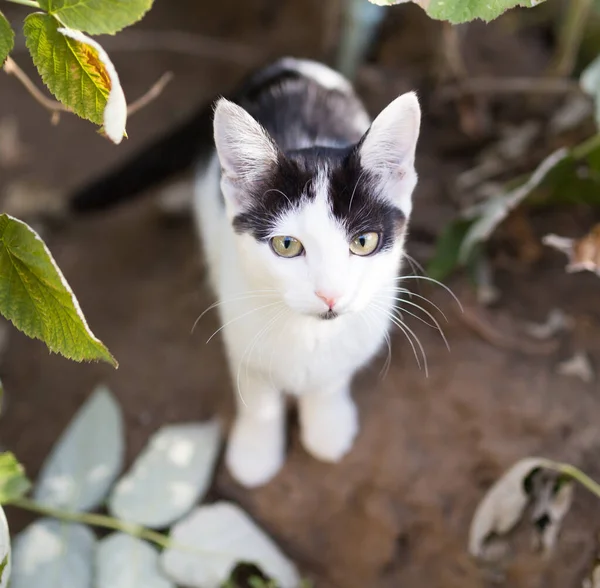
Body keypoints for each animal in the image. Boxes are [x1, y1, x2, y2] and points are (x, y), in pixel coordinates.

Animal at [70, 56, 420, 486]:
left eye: (364, 242)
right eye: (286, 245)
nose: (329, 295)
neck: (309, 333)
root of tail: (287, 63)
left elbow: (332, 377)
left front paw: (327, 426)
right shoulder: (240, 328)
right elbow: (258, 396)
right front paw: (255, 453)